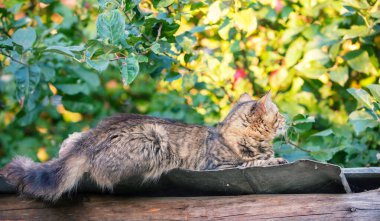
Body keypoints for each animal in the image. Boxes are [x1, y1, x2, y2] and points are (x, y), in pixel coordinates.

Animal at [0, 91, 288, 200]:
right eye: (278, 114)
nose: (288, 119)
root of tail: (92, 139)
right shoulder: (217, 166)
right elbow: (252, 162)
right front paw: (272, 159)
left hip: (76, 135)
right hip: (154, 138)